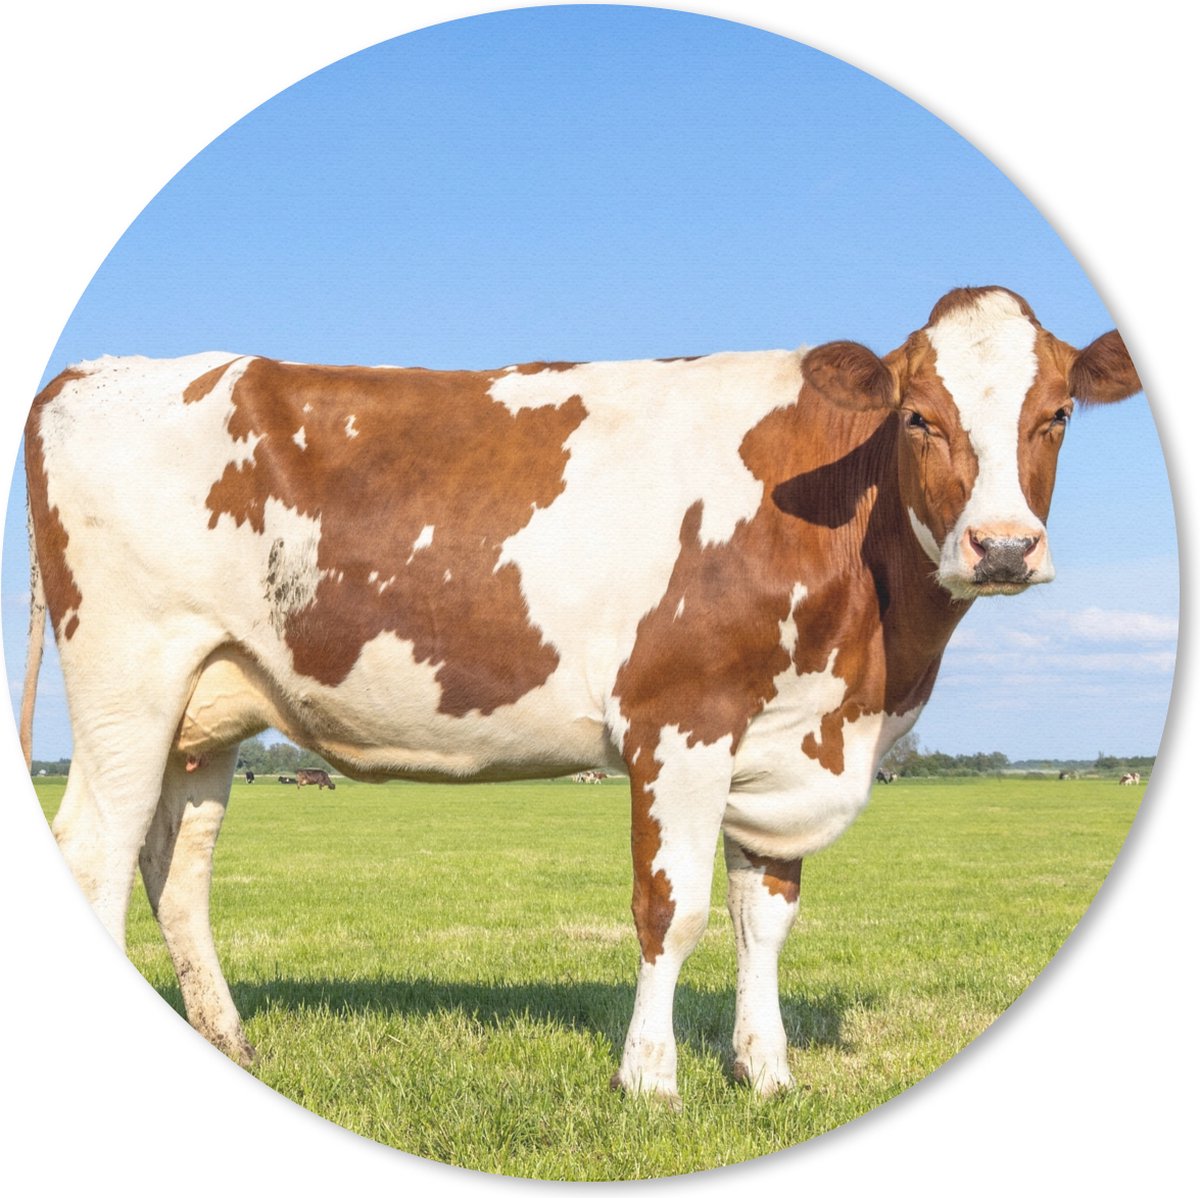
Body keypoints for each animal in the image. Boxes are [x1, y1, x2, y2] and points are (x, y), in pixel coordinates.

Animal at [19, 286, 1141, 1106]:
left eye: (1057, 414)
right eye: (919, 416)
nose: (1004, 547)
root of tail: (98, 371)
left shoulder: (788, 739)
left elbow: (764, 917)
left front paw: (767, 1074)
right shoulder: (679, 719)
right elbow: (673, 911)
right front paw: (650, 1083)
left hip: (205, 709)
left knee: (176, 866)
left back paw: (229, 1041)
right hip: (127, 675)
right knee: (94, 856)